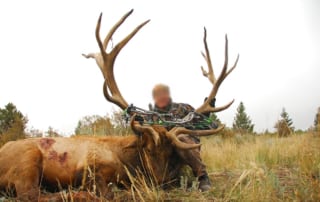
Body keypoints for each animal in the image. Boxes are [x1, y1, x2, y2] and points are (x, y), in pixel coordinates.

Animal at [0, 9, 238, 200]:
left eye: (171, 152)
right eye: (147, 149)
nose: (160, 182)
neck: (126, 159)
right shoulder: (89, 169)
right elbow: (109, 192)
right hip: (27, 160)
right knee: (29, 194)